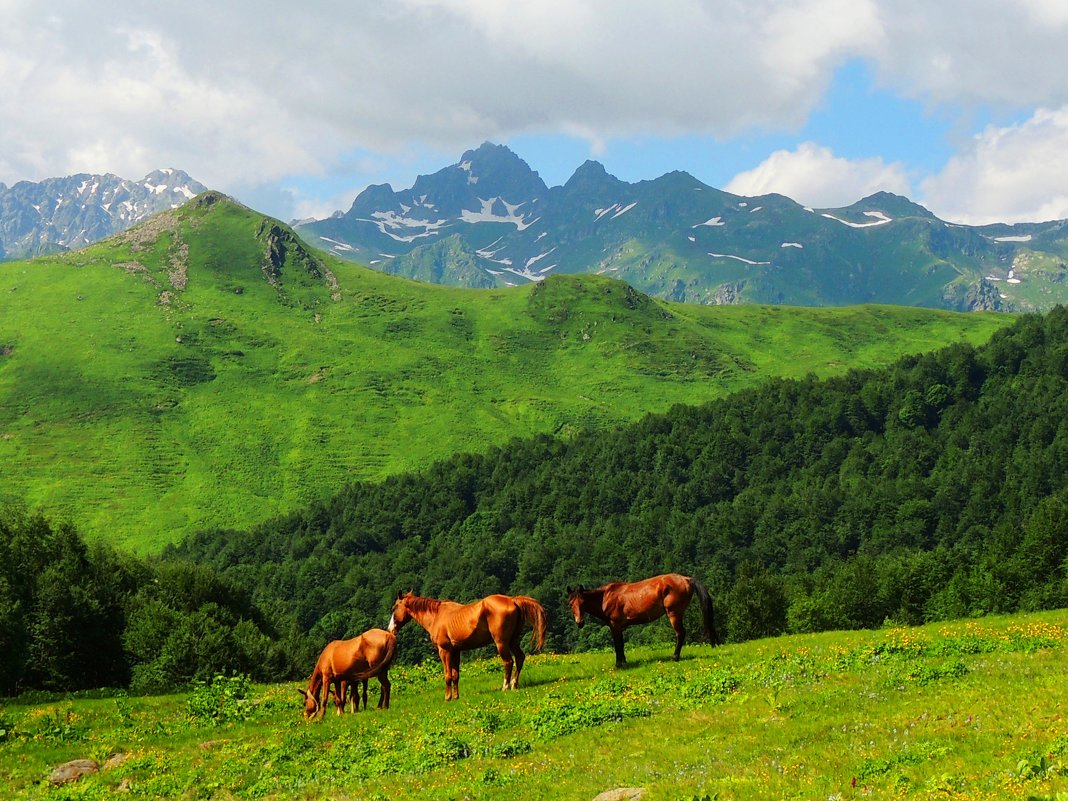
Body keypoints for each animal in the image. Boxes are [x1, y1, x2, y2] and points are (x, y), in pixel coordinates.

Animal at [386, 589, 551, 700]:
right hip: (513, 641)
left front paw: (447, 697)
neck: (437, 616)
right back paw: (514, 684)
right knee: (520, 658)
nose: (390, 629)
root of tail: (513, 600)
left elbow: (447, 675)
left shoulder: (444, 651)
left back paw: (505, 686)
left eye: (394, 607)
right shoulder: (456, 651)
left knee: (508, 662)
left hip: (502, 643)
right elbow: (455, 675)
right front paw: (456, 696)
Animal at [568, 572, 717, 666]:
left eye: (582, 603)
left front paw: (619, 664)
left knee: (680, 633)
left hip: (674, 613)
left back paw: (675, 657)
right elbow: (621, 644)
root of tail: (687, 579)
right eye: (570, 604)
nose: (579, 622)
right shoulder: (619, 627)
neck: (606, 597)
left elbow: (617, 645)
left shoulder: (614, 625)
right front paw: (624, 662)